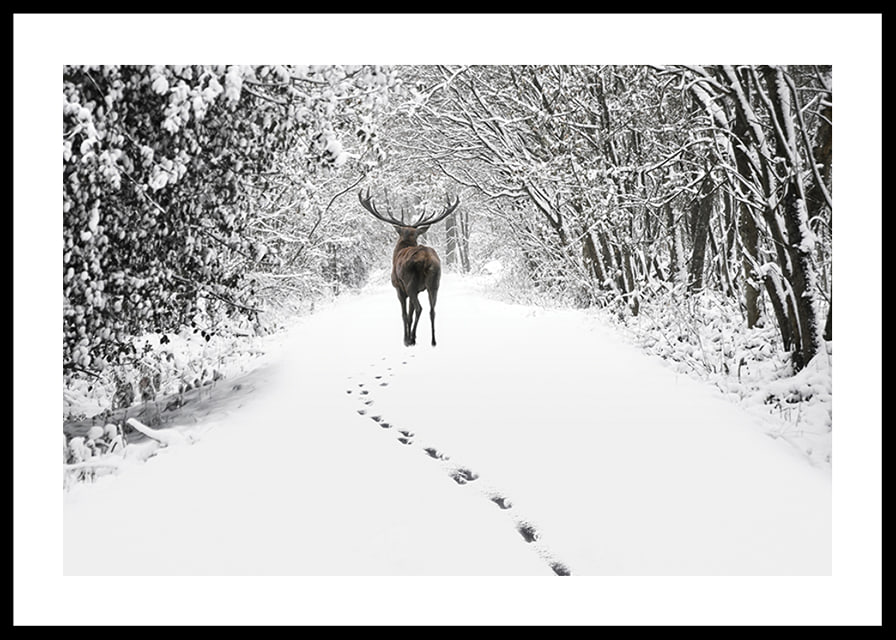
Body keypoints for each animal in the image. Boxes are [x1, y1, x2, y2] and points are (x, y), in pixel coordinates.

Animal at [358, 188, 460, 347]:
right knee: (432, 310)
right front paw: (413, 336)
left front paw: (406, 338)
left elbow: (405, 314)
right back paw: (433, 341)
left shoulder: (399, 288)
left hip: (410, 282)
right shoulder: (418, 290)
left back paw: (411, 339)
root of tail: (426, 259)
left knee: (420, 308)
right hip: (434, 283)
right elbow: (410, 314)